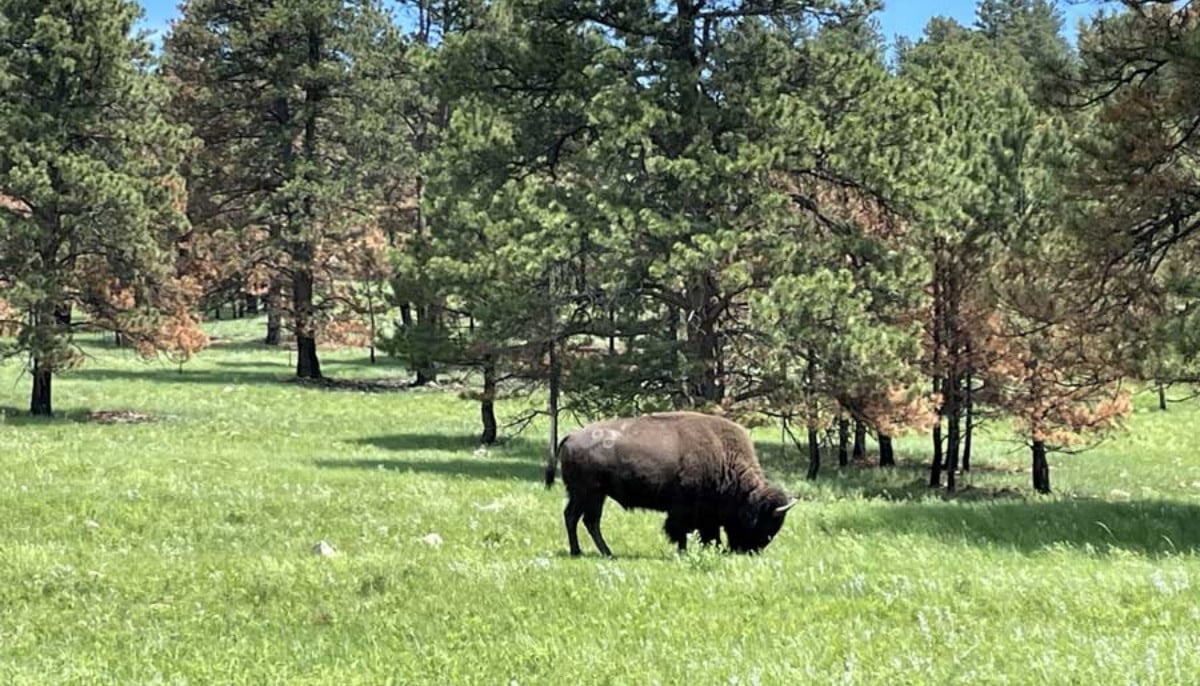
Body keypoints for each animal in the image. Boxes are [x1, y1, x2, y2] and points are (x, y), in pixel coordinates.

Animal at [544, 411, 796, 557]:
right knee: (580, 519)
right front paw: (684, 552)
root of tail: (571, 437)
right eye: (764, 523)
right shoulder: (685, 511)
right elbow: (682, 531)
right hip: (589, 494)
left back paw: (598, 552)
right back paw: (589, 552)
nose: (749, 552)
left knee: (583, 520)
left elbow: (706, 532)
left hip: (591, 495)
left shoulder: (706, 515)